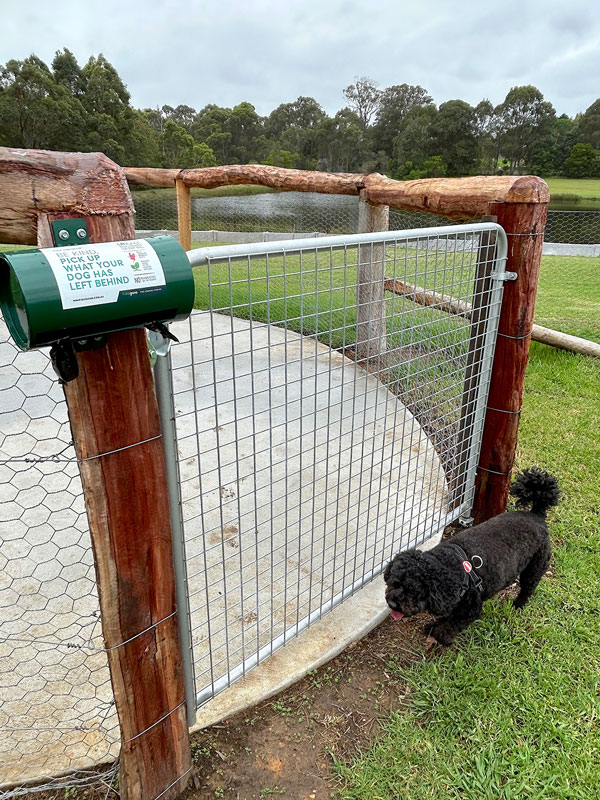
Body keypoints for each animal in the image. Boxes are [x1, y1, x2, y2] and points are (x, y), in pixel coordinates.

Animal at [382, 468, 560, 644]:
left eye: (414, 591)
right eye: (394, 582)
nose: (392, 603)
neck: (449, 566)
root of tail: (536, 514)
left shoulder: (470, 609)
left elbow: (451, 625)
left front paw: (441, 636)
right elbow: (447, 617)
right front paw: (434, 626)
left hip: (535, 566)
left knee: (527, 589)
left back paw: (517, 605)